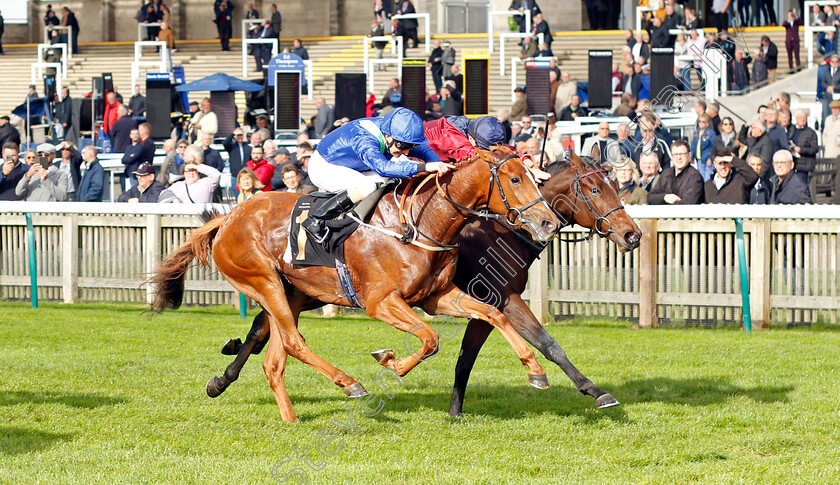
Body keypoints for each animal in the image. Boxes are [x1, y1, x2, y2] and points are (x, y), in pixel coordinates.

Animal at [148, 147, 560, 420]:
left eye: (532, 175)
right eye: (514, 178)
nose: (549, 222)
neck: (418, 222)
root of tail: (230, 216)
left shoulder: (437, 296)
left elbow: (494, 314)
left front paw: (535, 370)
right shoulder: (381, 302)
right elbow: (430, 338)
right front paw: (390, 360)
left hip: (289, 293)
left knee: (275, 358)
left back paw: (291, 418)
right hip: (263, 282)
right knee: (294, 342)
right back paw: (350, 384)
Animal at [203, 153, 644, 414]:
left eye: (615, 185)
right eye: (594, 189)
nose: (633, 234)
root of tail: (230, 216)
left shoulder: (451, 298)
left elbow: (481, 345)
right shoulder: (491, 297)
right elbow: (528, 344)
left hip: (297, 291)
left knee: (268, 338)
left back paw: (231, 381)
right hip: (270, 283)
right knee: (281, 337)